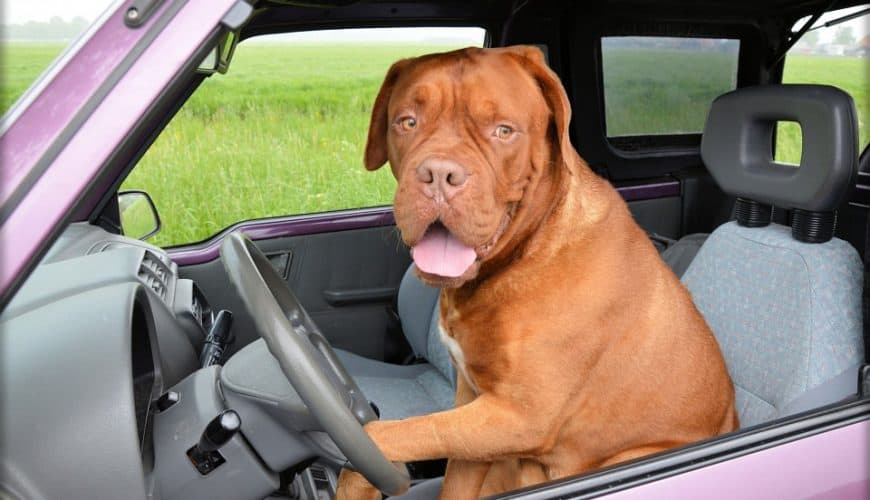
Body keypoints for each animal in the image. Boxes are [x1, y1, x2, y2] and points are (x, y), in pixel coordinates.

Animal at [338, 45, 740, 498]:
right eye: (407, 122)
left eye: (503, 131)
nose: (439, 174)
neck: (526, 248)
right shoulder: (472, 404)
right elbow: (450, 467)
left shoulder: (519, 416)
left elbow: (385, 435)